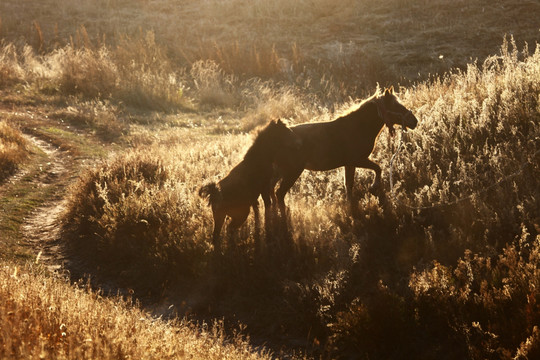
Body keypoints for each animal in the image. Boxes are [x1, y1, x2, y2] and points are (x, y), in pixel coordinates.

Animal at [198, 119, 300, 249]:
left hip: (219, 217)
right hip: (240, 214)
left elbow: (258, 208)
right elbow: (267, 204)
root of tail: (215, 193)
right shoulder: (264, 187)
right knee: (230, 229)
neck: (259, 159)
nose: (299, 143)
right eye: (285, 131)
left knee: (217, 235)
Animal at [274, 87, 418, 214]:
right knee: (279, 193)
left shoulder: (349, 164)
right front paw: (373, 187)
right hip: (292, 172)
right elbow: (377, 168)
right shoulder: (357, 160)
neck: (357, 127)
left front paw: (350, 207)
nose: (414, 121)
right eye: (395, 106)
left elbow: (348, 185)